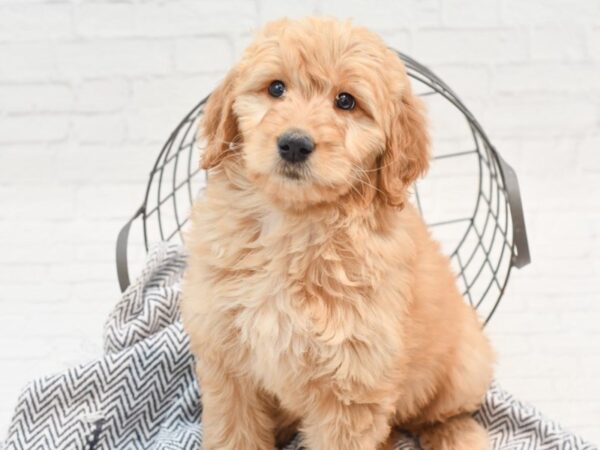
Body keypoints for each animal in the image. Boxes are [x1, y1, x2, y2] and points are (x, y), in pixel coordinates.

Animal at [182, 16, 492, 450]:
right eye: (276, 88)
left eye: (346, 101)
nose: (294, 144)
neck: (293, 224)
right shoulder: (227, 362)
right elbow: (234, 434)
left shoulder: (352, 386)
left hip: (466, 363)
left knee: (439, 414)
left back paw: (457, 434)